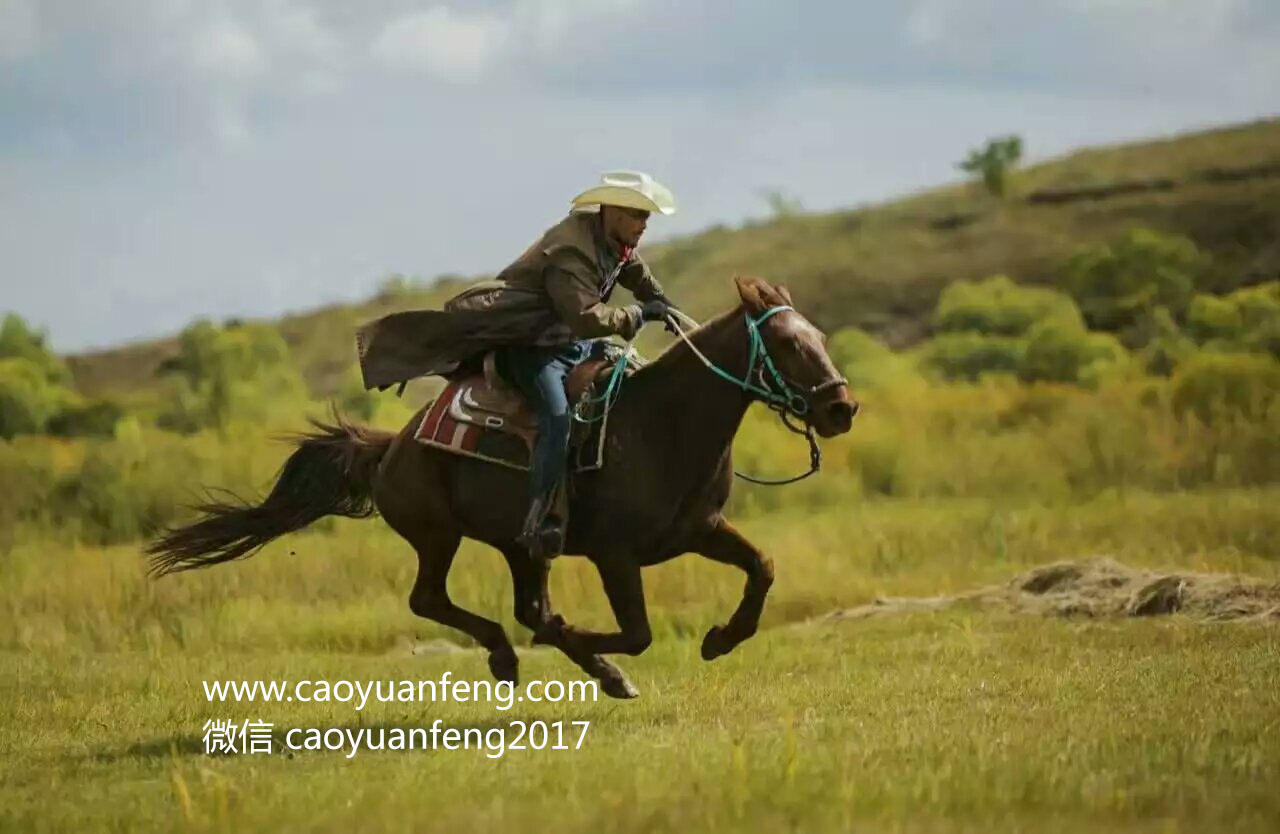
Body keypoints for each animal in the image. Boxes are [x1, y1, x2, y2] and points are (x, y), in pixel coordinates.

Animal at [145, 278, 855, 695]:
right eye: (788, 344)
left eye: (819, 336)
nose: (841, 408)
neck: (663, 423)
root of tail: (391, 447)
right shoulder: (615, 554)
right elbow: (637, 633)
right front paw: (592, 648)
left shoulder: (699, 532)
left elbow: (762, 567)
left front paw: (719, 639)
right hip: (438, 535)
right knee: (432, 600)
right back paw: (516, 660)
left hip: (521, 545)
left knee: (524, 607)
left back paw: (580, 666)